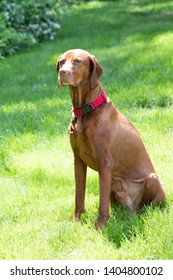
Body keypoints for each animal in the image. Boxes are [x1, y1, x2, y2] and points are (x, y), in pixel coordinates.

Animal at [56, 49, 166, 229]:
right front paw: (75, 221)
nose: (62, 73)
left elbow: (102, 203)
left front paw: (100, 226)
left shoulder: (104, 162)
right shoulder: (78, 160)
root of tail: (131, 209)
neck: (84, 112)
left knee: (149, 207)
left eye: (77, 61)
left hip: (151, 179)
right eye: (62, 62)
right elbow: (79, 196)